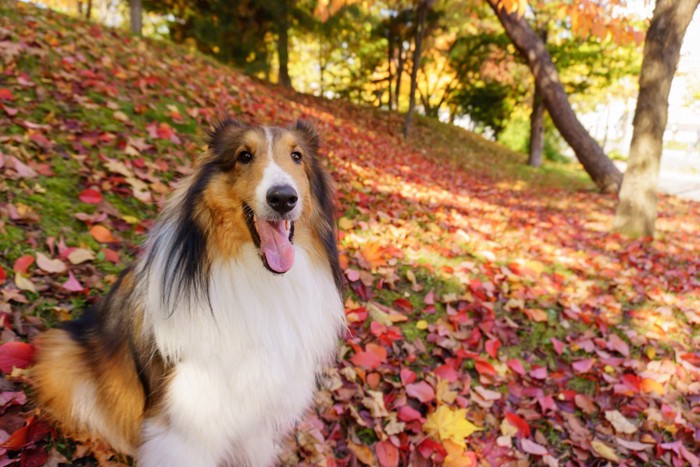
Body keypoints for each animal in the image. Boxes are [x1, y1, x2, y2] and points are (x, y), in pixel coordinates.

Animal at [32, 119, 344, 466]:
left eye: (297, 156)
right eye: (244, 156)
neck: (259, 277)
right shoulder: (188, 424)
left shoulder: (256, 421)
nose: (283, 198)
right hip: (62, 352)